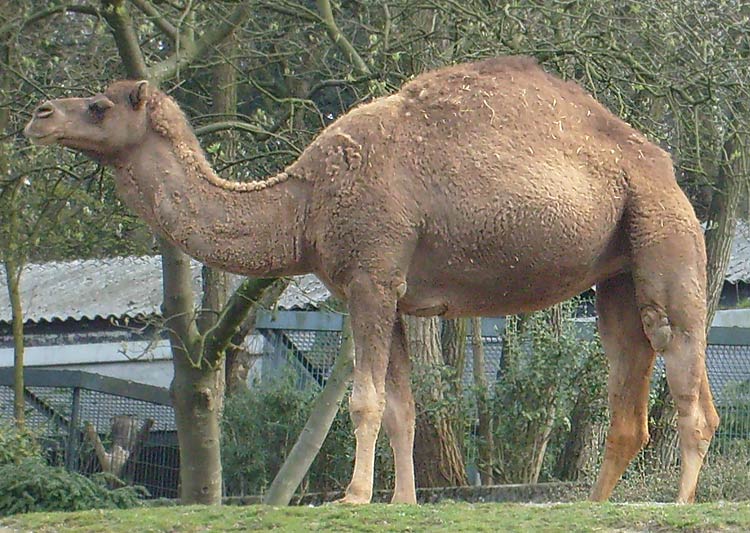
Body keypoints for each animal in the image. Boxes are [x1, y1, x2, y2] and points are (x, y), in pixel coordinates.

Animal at [26, 56, 724, 504]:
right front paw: (402, 503)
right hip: (617, 274)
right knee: (628, 384)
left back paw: (682, 503)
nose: (39, 113)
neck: (303, 203)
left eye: (98, 106)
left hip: (664, 233)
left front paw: (354, 496)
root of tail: (663, 166)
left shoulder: (370, 274)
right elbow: (400, 408)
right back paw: (594, 506)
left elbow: (362, 401)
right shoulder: (388, 288)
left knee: (685, 368)